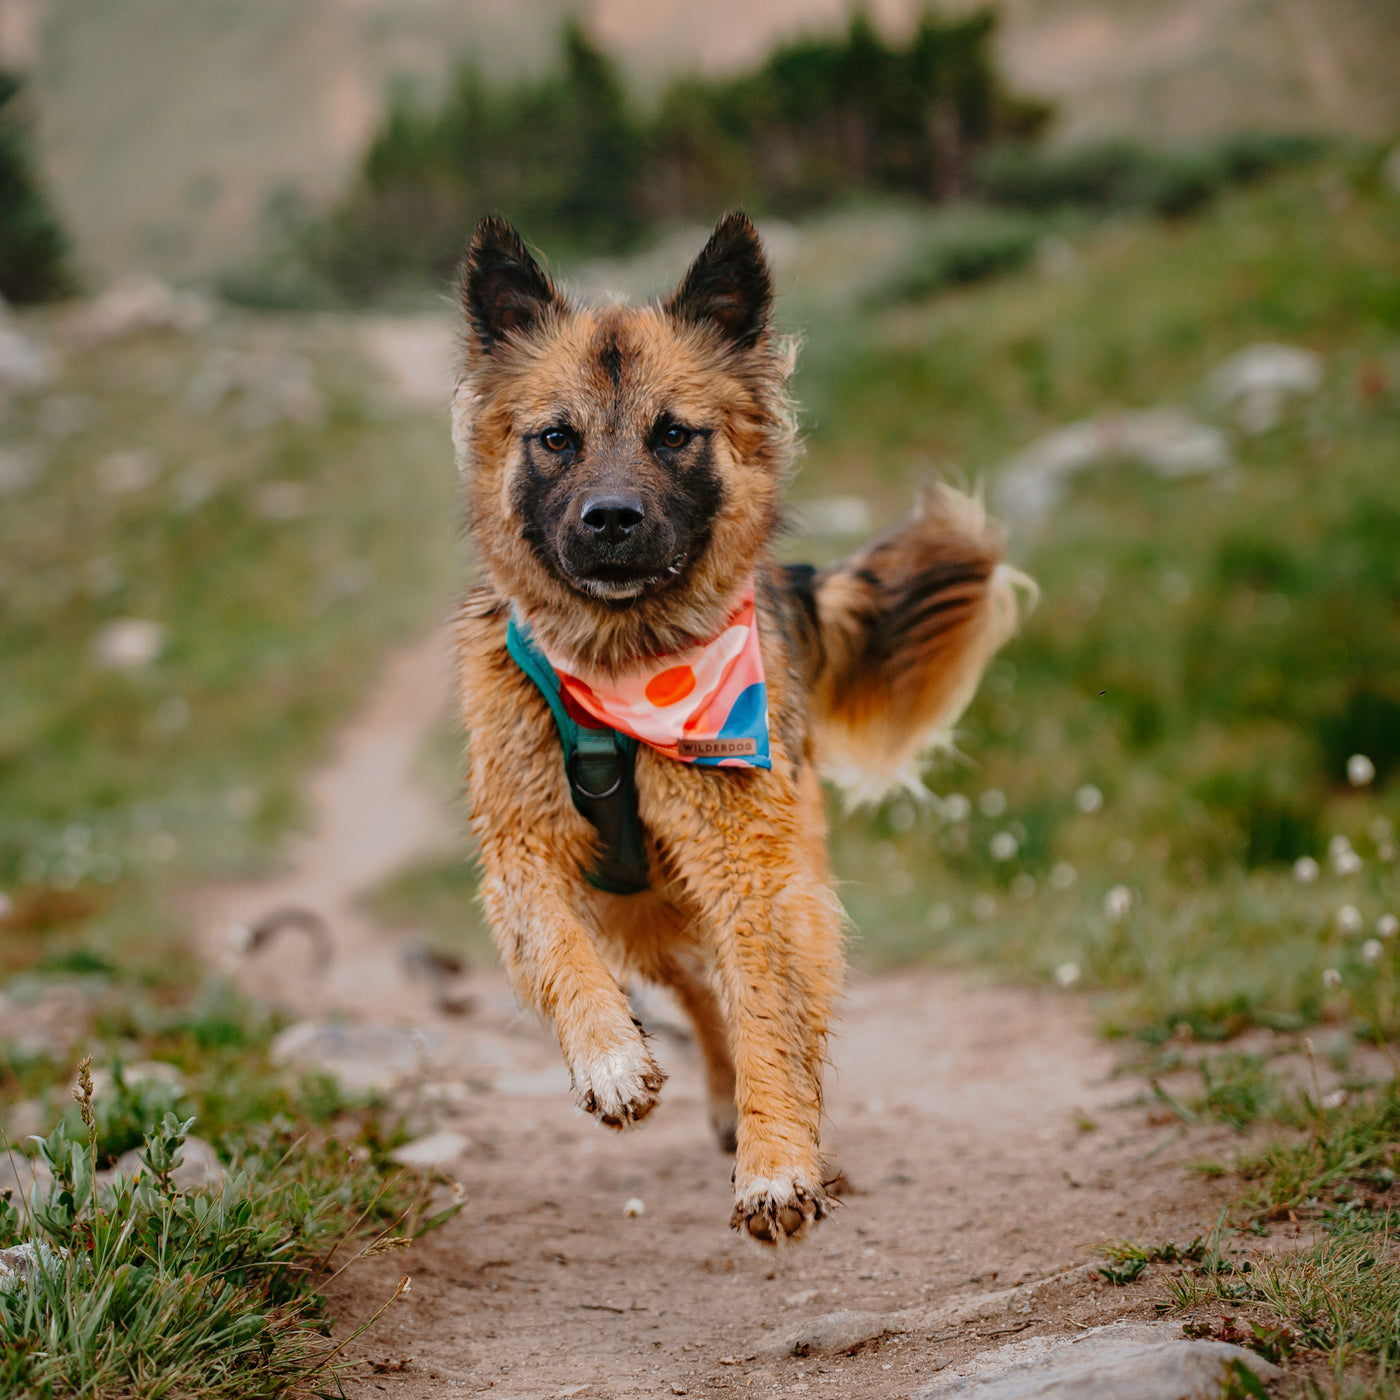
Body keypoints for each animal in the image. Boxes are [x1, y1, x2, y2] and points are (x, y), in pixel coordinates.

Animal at [453, 212, 1024, 1243]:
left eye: (674, 434)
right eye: (556, 438)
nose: (610, 520)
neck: (625, 665)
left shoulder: (749, 863)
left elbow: (767, 1005)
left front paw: (777, 1160)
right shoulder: (521, 849)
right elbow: (559, 949)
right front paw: (610, 1059)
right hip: (645, 911)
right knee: (691, 991)